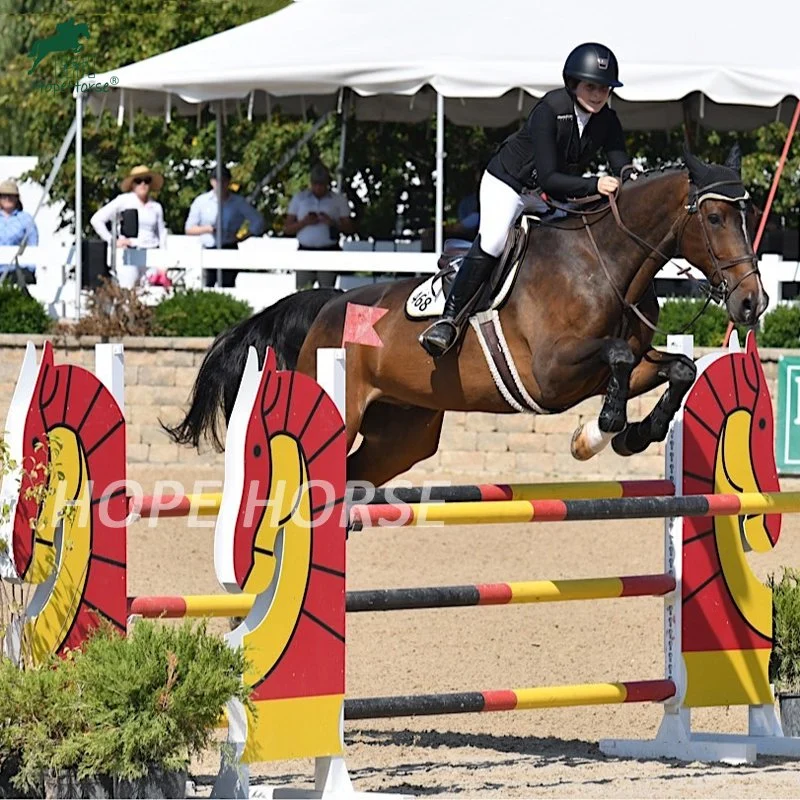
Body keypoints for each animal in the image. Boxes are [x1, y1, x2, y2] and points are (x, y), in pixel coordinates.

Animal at [161, 150, 764, 488]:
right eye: (714, 217)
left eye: (748, 213)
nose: (751, 304)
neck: (607, 264)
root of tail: (328, 304)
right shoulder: (552, 374)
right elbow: (616, 358)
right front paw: (600, 431)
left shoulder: (619, 365)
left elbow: (680, 368)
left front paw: (632, 436)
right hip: (343, 406)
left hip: (402, 433)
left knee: (351, 478)